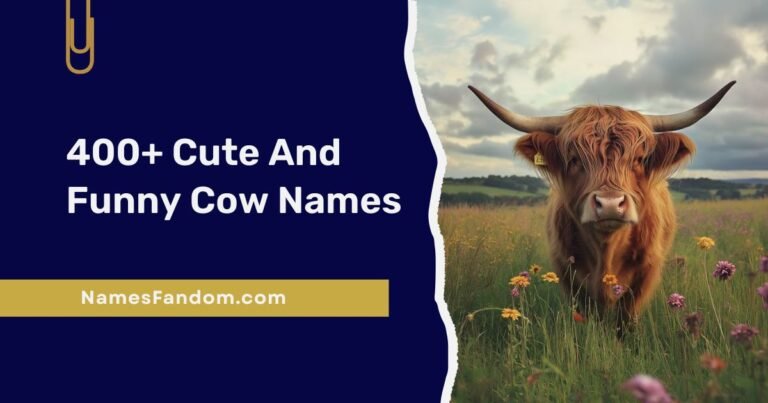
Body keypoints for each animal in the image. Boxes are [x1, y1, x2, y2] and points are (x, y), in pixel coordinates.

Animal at [468, 81, 735, 335]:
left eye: (639, 159)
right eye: (574, 159)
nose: (610, 204)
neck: (606, 250)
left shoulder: (645, 274)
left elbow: (625, 320)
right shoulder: (568, 273)